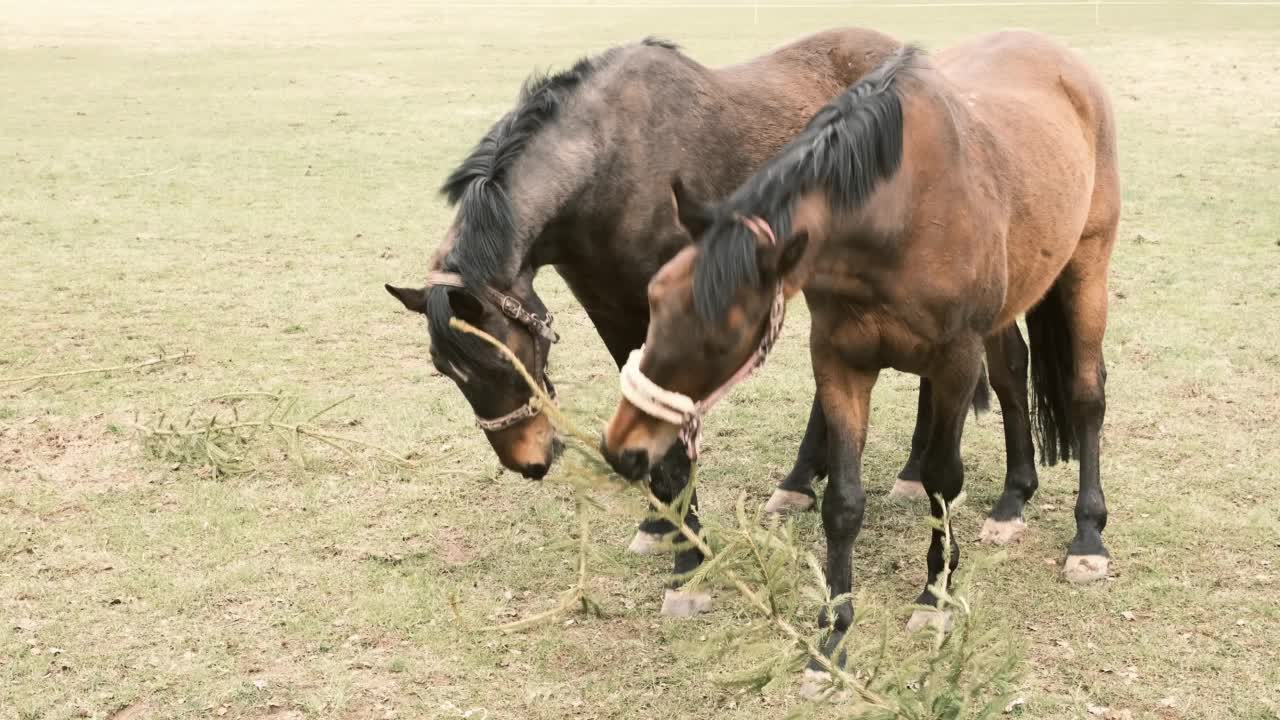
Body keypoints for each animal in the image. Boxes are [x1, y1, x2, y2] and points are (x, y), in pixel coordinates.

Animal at [604, 29, 1116, 666]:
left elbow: (942, 481)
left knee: (1086, 395)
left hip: (1087, 267)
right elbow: (843, 503)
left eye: (723, 334)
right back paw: (1011, 503)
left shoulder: (954, 361)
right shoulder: (840, 362)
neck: (898, 215)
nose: (623, 447)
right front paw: (833, 637)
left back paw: (1088, 535)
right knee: (1011, 376)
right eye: (655, 297)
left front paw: (934, 597)